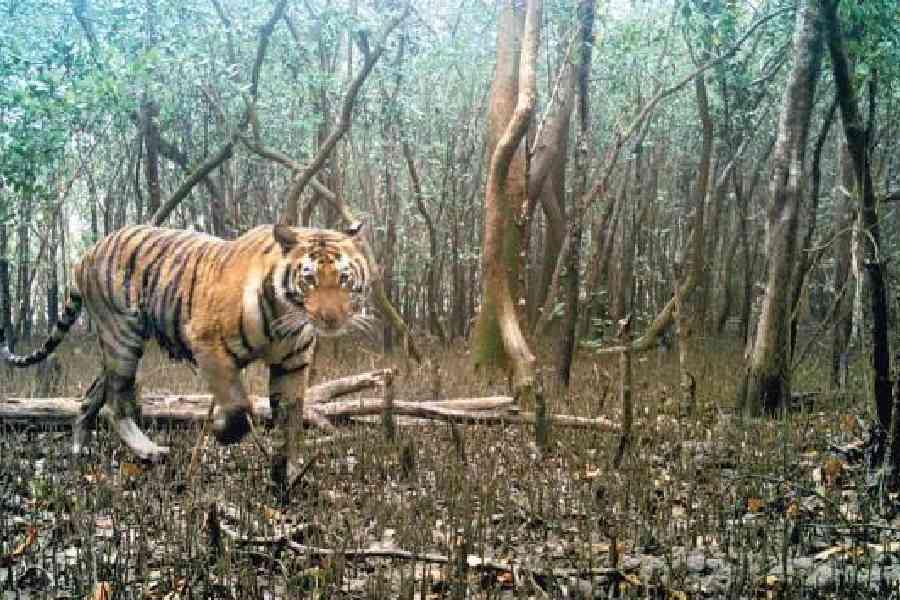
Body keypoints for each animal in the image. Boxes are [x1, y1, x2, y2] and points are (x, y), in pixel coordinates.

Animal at [1, 223, 372, 486]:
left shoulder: (293, 365)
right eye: (308, 278)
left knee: (92, 395)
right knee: (115, 404)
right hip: (122, 336)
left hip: (116, 345)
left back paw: (79, 449)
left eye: (344, 277)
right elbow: (239, 407)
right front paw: (222, 432)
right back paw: (148, 450)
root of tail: (87, 253)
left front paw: (288, 473)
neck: (286, 317)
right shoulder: (208, 344)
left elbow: (291, 422)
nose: (331, 319)